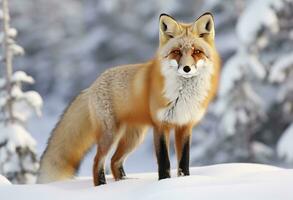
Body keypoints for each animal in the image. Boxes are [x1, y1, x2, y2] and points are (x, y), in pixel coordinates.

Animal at [37, 12, 219, 186]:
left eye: (196, 52)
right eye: (177, 52)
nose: (186, 68)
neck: (182, 96)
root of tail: (92, 85)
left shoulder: (185, 125)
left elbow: (184, 163)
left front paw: (183, 181)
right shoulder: (161, 125)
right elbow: (164, 162)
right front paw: (164, 184)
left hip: (133, 138)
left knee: (114, 161)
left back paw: (123, 182)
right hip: (110, 134)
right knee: (98, 161)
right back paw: (102, 186)